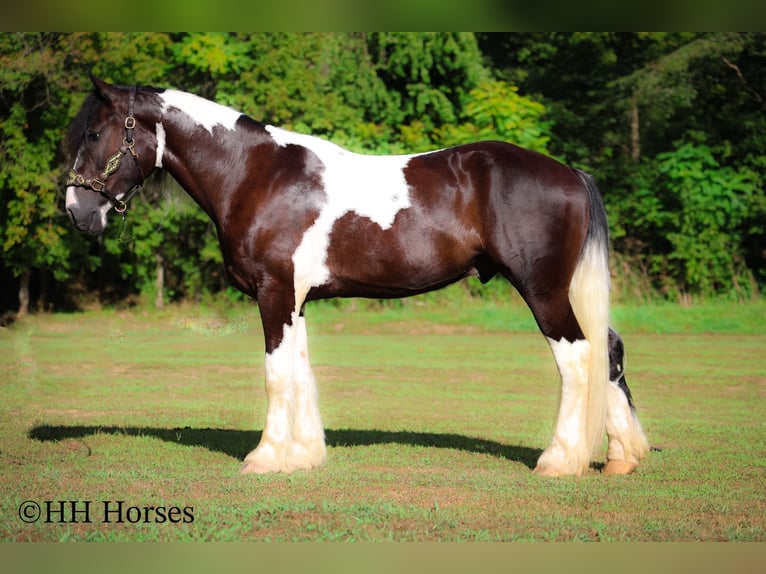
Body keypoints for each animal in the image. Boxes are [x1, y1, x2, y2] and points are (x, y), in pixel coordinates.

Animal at [64, 76, 649, 477]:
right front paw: (303, 456)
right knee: (609, 350)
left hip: (543, 292)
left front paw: (265, 458)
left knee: (578, 357)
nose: (76, 211)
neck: (255, 175)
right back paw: (623, 456)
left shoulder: (273, 293)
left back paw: (559, 460)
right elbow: (300, 371)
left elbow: (277, 374)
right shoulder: (294, 299)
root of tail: (570, 172)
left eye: (94, 132)